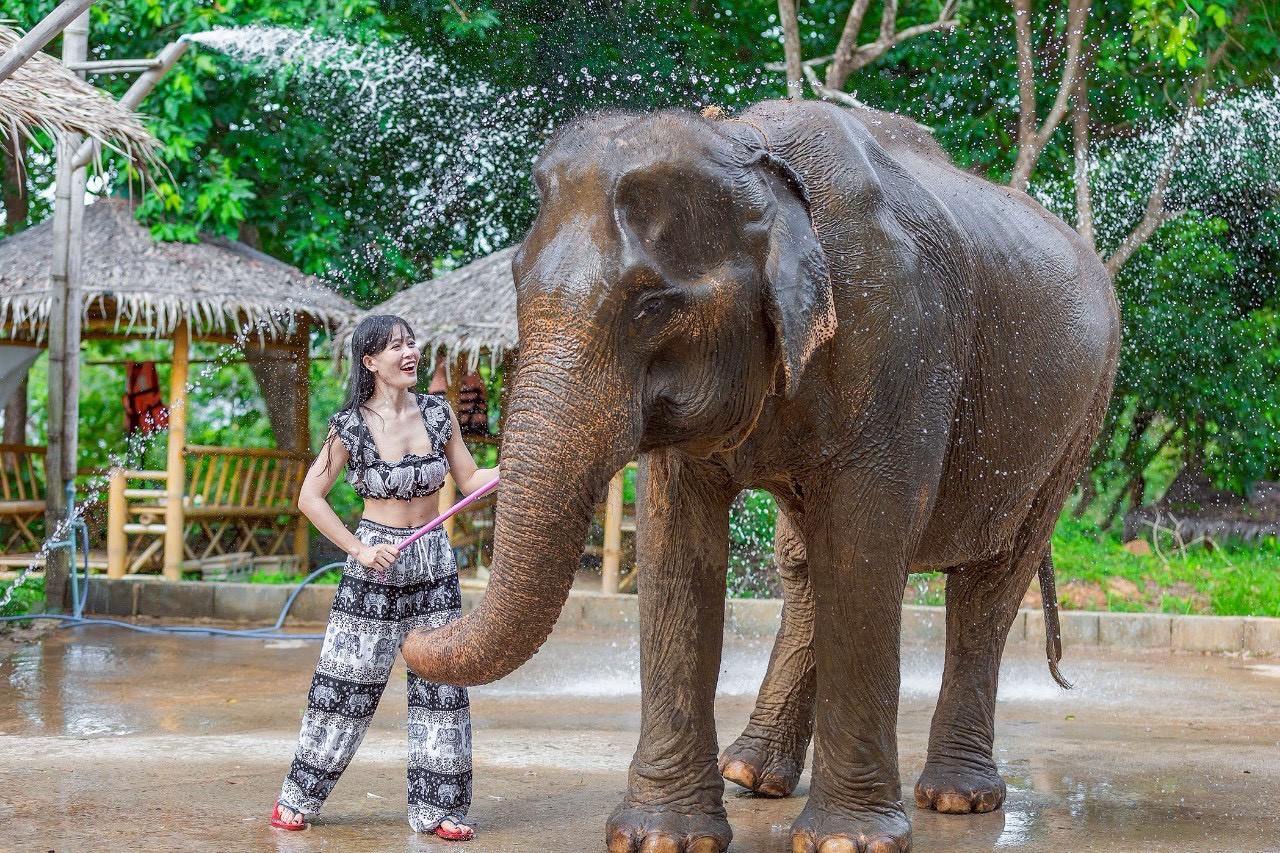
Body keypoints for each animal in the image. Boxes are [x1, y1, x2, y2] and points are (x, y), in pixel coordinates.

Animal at [402, 98, 1119, 853]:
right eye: (515, 284)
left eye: (650, 305)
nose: (417, 636)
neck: (752, 152)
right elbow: (679, 549)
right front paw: (662, 838)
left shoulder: (902, 345)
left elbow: (865, 548)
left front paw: (846, 842)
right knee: (805, 566)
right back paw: (751, 774)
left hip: (1079, 420)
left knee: (987, 584)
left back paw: (956, 798)